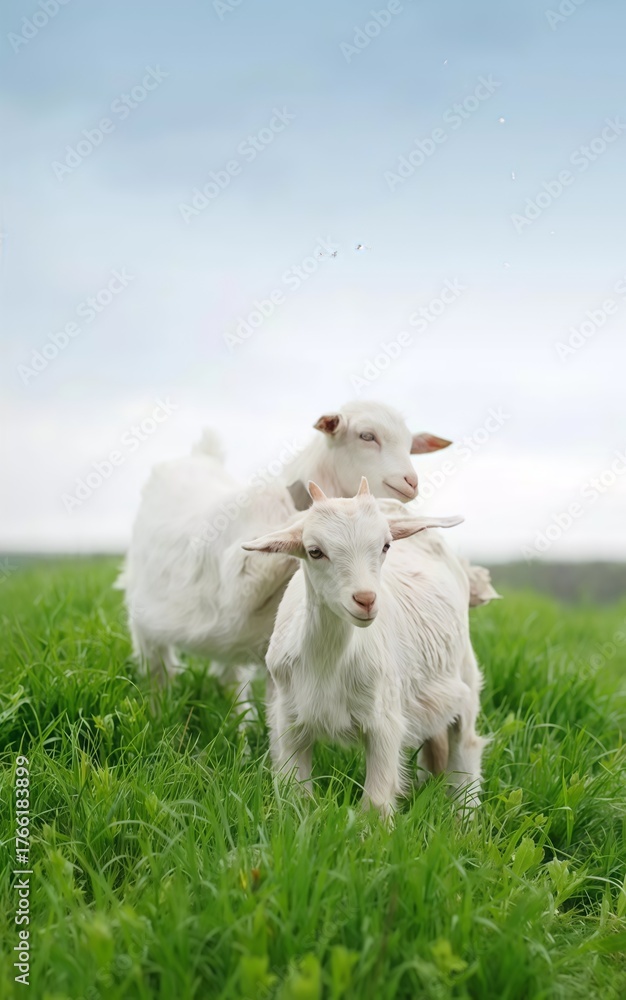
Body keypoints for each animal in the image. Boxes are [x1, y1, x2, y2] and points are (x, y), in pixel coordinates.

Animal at [117, 402, 452, 715]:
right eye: (366, 436)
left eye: (410, 444)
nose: (411, 482)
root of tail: (200, 456)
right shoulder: (236, 584)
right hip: (144, 618)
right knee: (158, 670)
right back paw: (157, 713)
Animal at [242, 479, 486, 818]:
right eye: (315, 551)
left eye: (385, 546)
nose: (366, 599)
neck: (328, 662)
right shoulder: (289, 720)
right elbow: (296, 797)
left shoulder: (385, 722)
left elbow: (376, 804)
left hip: (464, 674)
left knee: (466, 745)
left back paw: (464, 819)